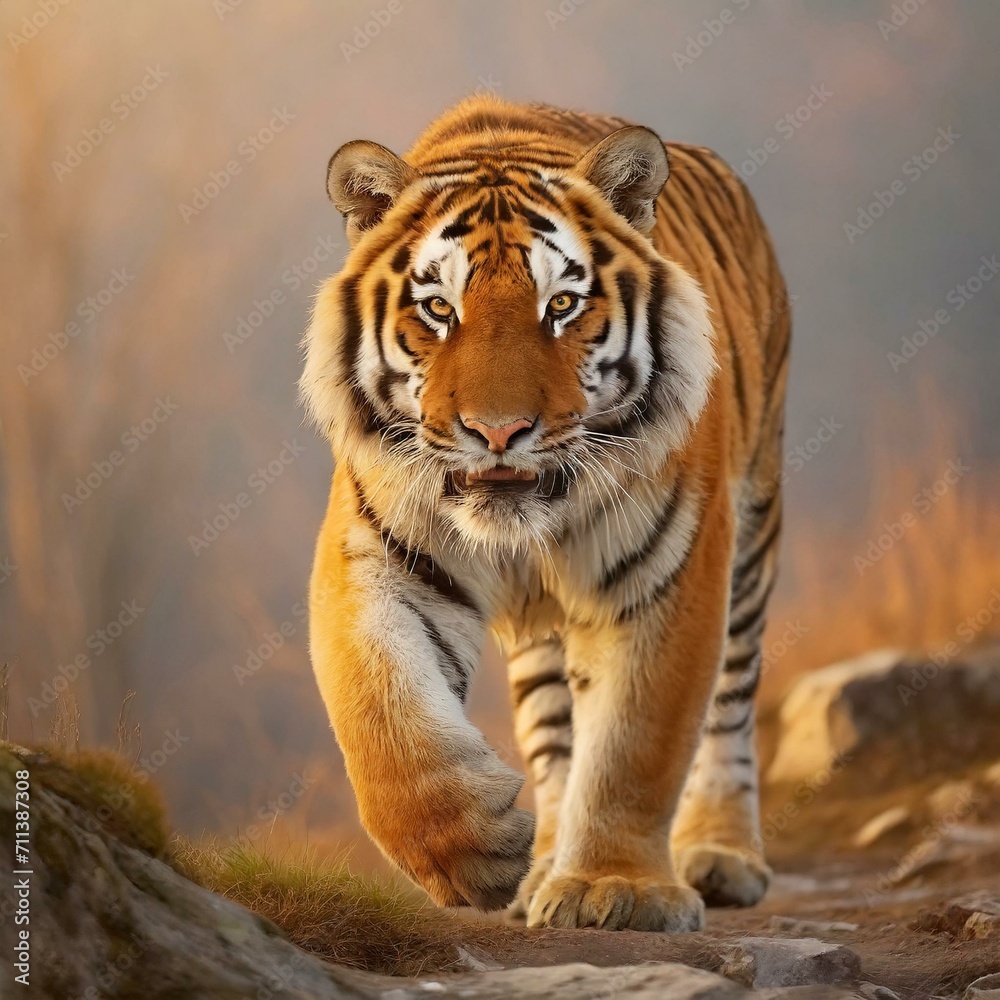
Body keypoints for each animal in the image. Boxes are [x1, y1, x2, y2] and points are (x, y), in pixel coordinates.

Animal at [300, 95, 790, 932]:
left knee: (729, 701)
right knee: (558, 734)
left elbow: (636, 739)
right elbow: (379, 715)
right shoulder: (379, 555)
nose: (498, 432)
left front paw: (615, 887)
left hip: (754, 526)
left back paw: (720, 857)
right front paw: (476, 855)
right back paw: (541, 867)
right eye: (439, 309)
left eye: (561, 305)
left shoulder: (675, 566)